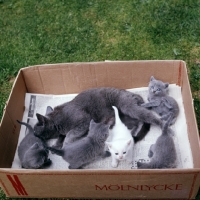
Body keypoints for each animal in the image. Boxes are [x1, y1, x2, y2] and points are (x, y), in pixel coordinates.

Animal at [34, 86, 162, 148]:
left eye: (35, 130)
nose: (34, 135)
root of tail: (136, 95)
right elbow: (61, 136)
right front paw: (57, 144)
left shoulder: (83, 121)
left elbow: (70, 134)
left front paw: (66, 144)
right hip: (123, 118)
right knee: (137, 121)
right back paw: (132, 133)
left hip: (128, 106)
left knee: (147, 116)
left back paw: (163, 124)